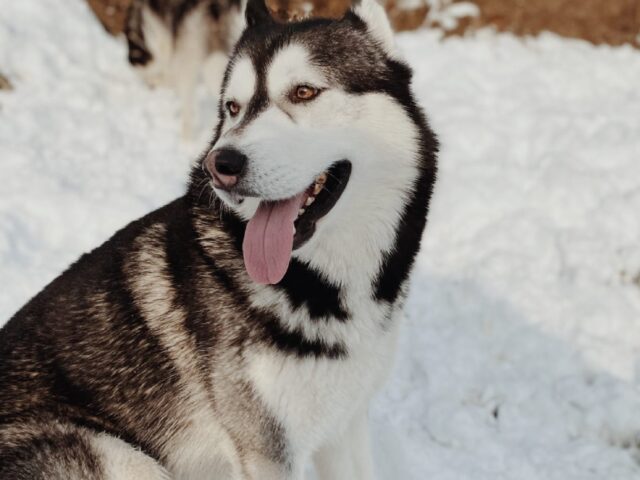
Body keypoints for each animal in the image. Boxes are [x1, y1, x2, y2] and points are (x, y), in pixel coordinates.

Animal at [0, 0, 438, 476]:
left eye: (304, 92)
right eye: (232, 107)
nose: (221, 164)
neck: (316, 282)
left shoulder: (345, 424)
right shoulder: (266, 451)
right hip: (119, 455)